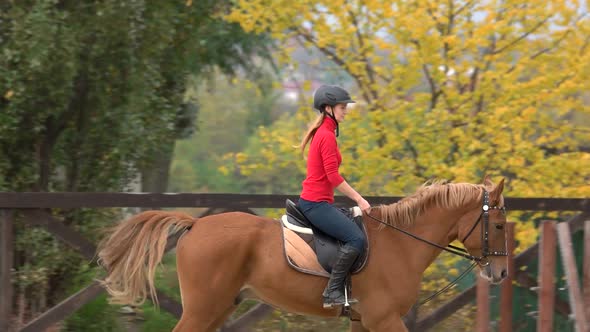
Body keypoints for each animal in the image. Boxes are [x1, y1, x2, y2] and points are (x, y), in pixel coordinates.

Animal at [97, 179, 508, 332]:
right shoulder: (385, 319)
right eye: (502, 225)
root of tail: (196, 224)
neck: (400, 243)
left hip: (218, 308)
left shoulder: (364, 321)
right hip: (202, 308)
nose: (501, 274)